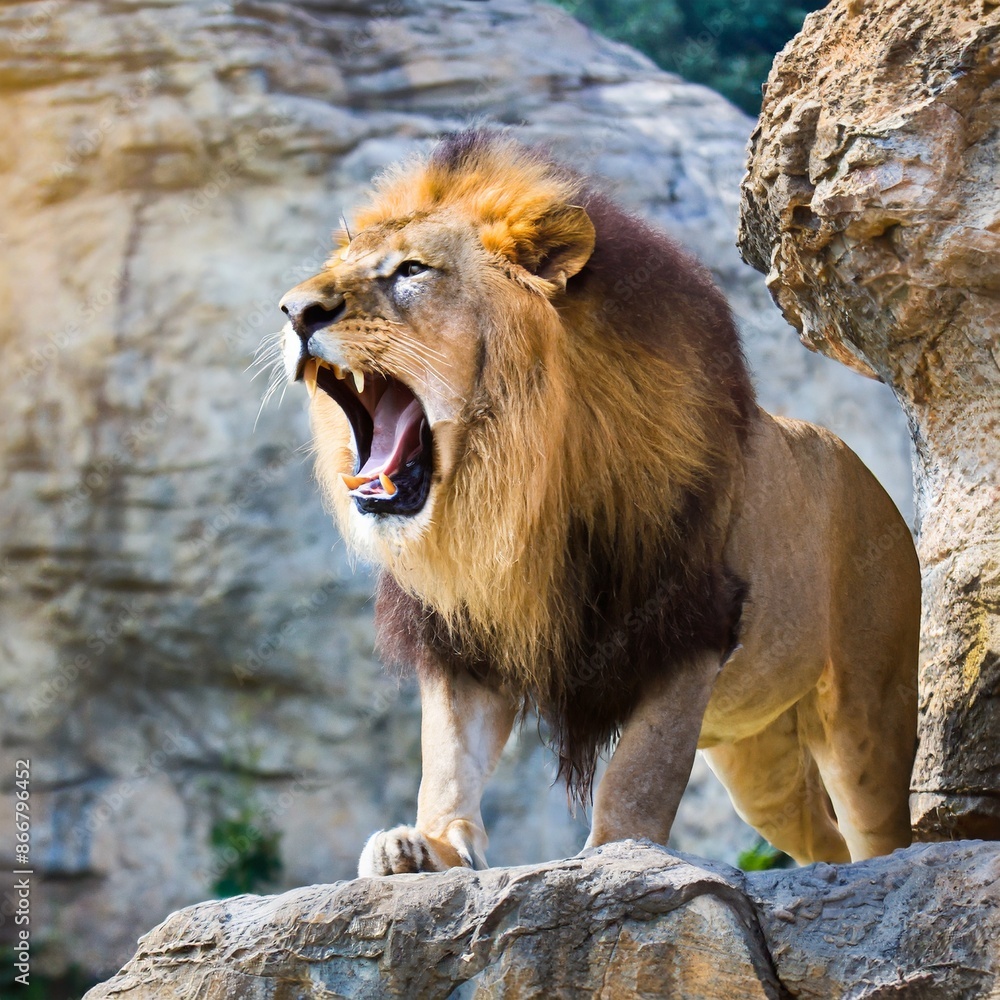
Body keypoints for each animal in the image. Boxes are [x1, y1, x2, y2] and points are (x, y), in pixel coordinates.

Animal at [277, 129, 920, 875]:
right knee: (823, 838)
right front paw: (428, 844)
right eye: (335, 265)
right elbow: (448, 757)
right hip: (757, 758)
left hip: (865, 712)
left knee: (882, 829)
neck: (514, 491)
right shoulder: (463, 635)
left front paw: (618, 853)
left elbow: (641, 768)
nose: (296, 310)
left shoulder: (686, 621)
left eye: (412, 270)